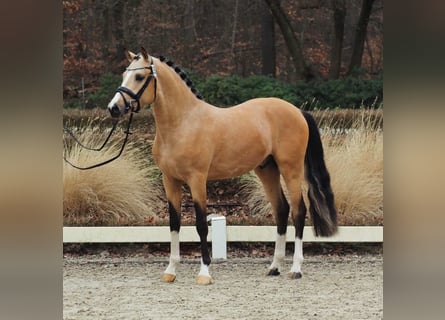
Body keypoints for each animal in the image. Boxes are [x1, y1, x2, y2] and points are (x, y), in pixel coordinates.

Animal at [107, 47, 336, 284]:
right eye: (124, 74)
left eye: (139, 76)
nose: (113, 108)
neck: (183, 123)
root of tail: (297, 111)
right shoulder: (169, 180)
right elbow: (174, 223)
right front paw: (170, 270)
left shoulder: (197, 180)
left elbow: (200, 224)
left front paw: (204, 272)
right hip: (267, 170)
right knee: (282, 210)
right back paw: (274, 267)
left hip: (291, 169)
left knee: (299, 212)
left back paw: (296, 268)